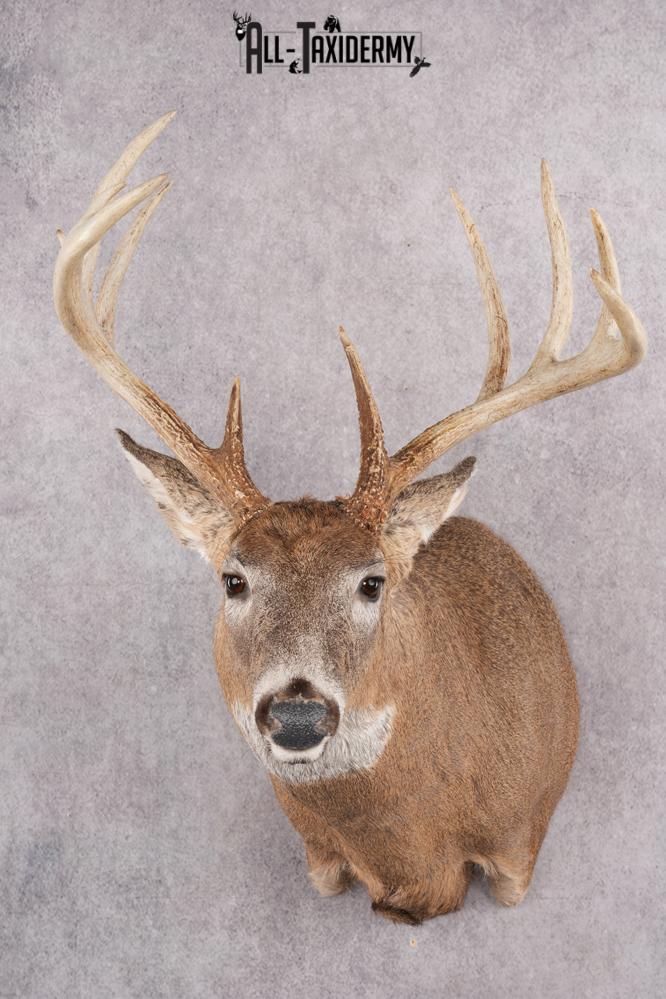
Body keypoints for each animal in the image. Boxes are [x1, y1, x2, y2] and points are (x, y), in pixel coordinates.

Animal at [53, 112, 647, 925]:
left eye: (372, 582)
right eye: (233, 579)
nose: (297, 716)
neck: (409, 860)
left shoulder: (518, 847)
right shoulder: (321, 857)